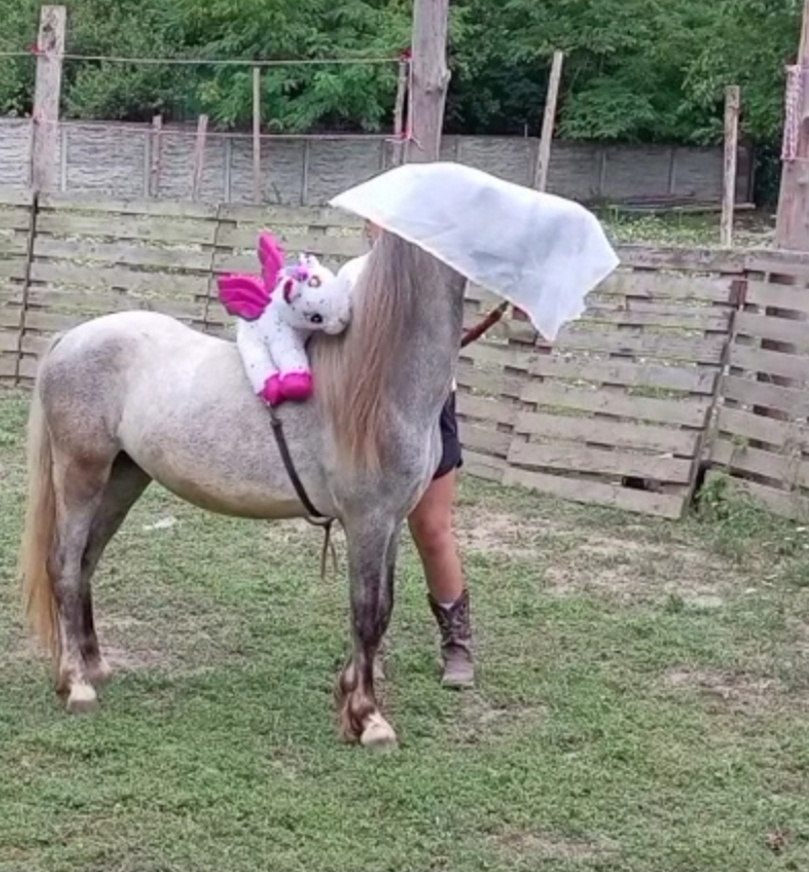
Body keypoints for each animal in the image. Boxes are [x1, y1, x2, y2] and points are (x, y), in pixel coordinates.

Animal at [18, 228, 466, 748]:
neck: (375, 383)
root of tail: (72, 337)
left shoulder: (390, 523)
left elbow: (382, 609)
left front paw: (350, 694)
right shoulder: (368, 522)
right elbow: (368, 614)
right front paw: (368, 718)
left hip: (123, 478)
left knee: (87, 562)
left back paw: (95, 666)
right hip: (80, 473)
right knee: (65, 566)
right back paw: (78, 686)